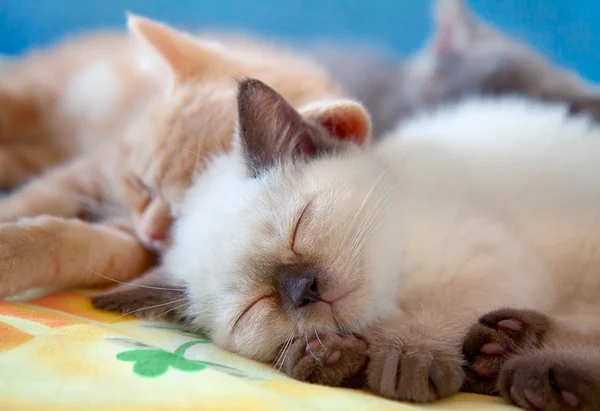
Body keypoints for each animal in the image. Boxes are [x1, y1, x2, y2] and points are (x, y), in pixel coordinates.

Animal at [0, 15, 342, 300]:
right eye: (141, 185)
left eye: (181, 219)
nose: (150, 232)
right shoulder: (93, 169)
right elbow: (32, 200)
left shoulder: (129, 243)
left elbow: (73, 245)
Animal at [96, 78, 600, 411]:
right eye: (253, 307)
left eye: (299, 225)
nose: (304, 289)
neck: (396, 293)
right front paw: (323, 356)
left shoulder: (488, 260)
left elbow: (440, 311)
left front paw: (408, 355)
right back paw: (508, 353)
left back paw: (526, 363)